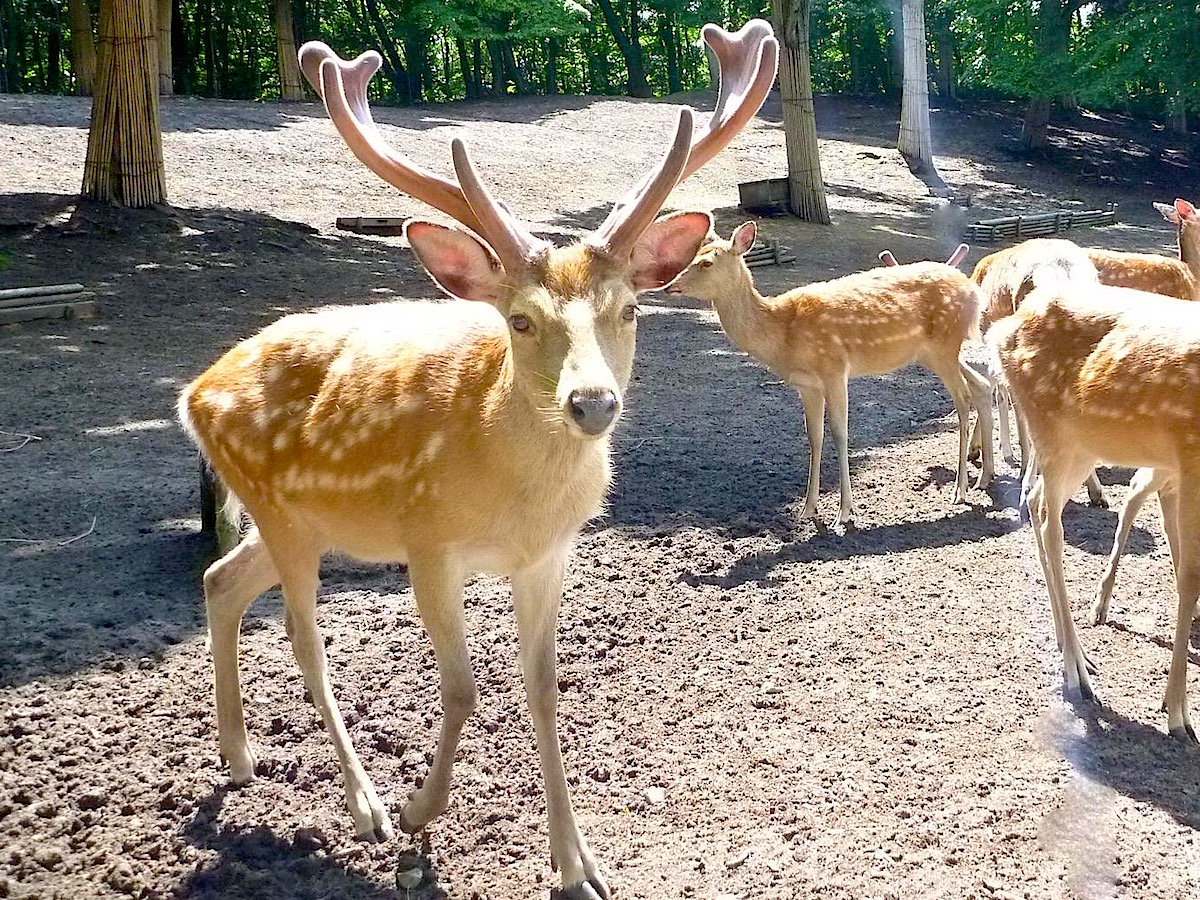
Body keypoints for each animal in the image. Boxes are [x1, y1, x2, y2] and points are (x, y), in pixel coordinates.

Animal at [177, 22, 777, 900]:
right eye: (520, 320)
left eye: (630, 309)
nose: (591, 401)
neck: (515, 502)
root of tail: (193, 391)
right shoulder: (428, 543)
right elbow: (462, 688)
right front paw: (421, 814)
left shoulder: (549, 556)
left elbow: (543, 688)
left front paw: (578, 867)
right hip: (279, 510)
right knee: (300, 633)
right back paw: (365, 806)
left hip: (297, 519)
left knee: (221, 581)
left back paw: (240, 756)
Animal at [667, 220, 993, 525]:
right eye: (694, 254)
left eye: (707, 262)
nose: (670, 285)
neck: (784, 334)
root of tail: (974, 293)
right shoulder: (806, 384)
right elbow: (815, 437)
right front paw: (807, 509)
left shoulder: (834, 368)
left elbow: (839, 433)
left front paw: (845, 511)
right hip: (933, 353)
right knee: (981, 385)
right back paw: (984, 476)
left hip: (944, 346)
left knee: (963, 399)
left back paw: (960, 490)